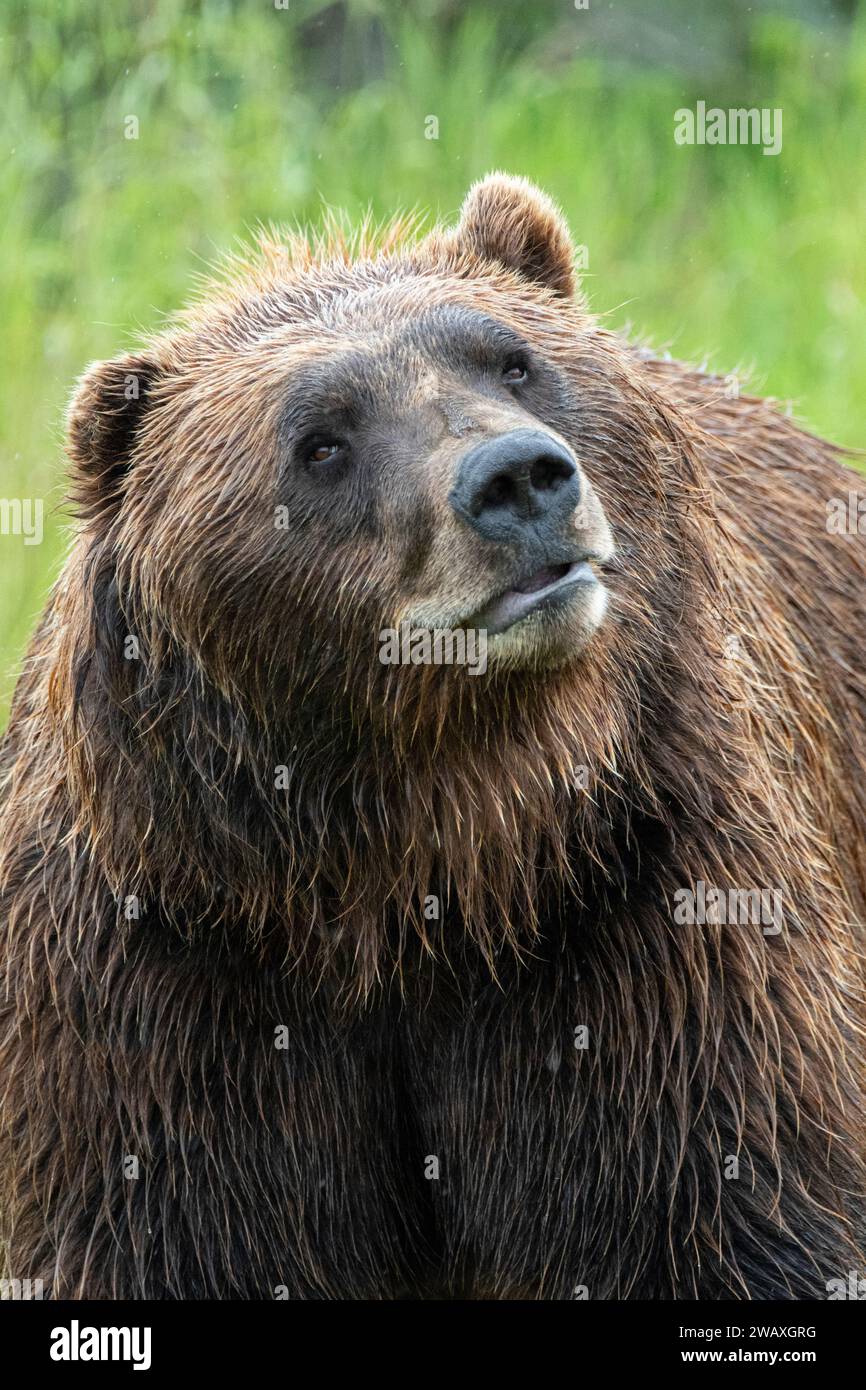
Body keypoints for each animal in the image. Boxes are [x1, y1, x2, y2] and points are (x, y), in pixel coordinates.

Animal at [1, 176, 866, 1301]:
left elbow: (734, 1202)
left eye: (513, 359)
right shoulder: (166, 965)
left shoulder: (648, 902)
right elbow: (172, 1230)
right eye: (320, 441)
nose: (520, 478)